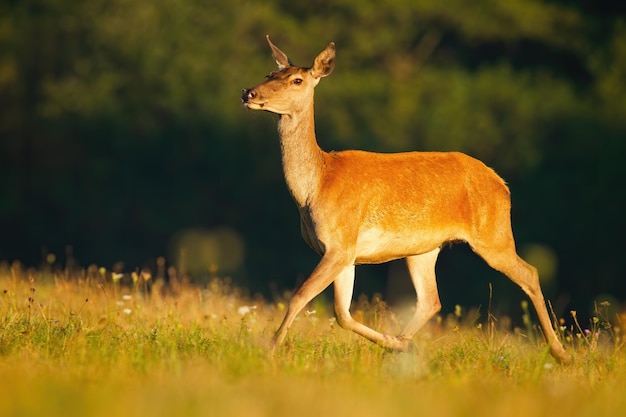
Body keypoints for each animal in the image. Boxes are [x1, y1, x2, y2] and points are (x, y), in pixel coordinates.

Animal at [239, 35, 572, 360]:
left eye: (296, 80)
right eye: (269, 74)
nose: (248, 92)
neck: (316, 187)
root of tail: (502, 185)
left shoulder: (340, 243)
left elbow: (300, 296)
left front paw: (270, 348)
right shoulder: (345, 252)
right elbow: (342, 313)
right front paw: (393, 344)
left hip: (493, 233)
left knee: (530, 273)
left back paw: (561, 353)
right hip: (423, 247)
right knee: (431, 300)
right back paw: (401, 343)